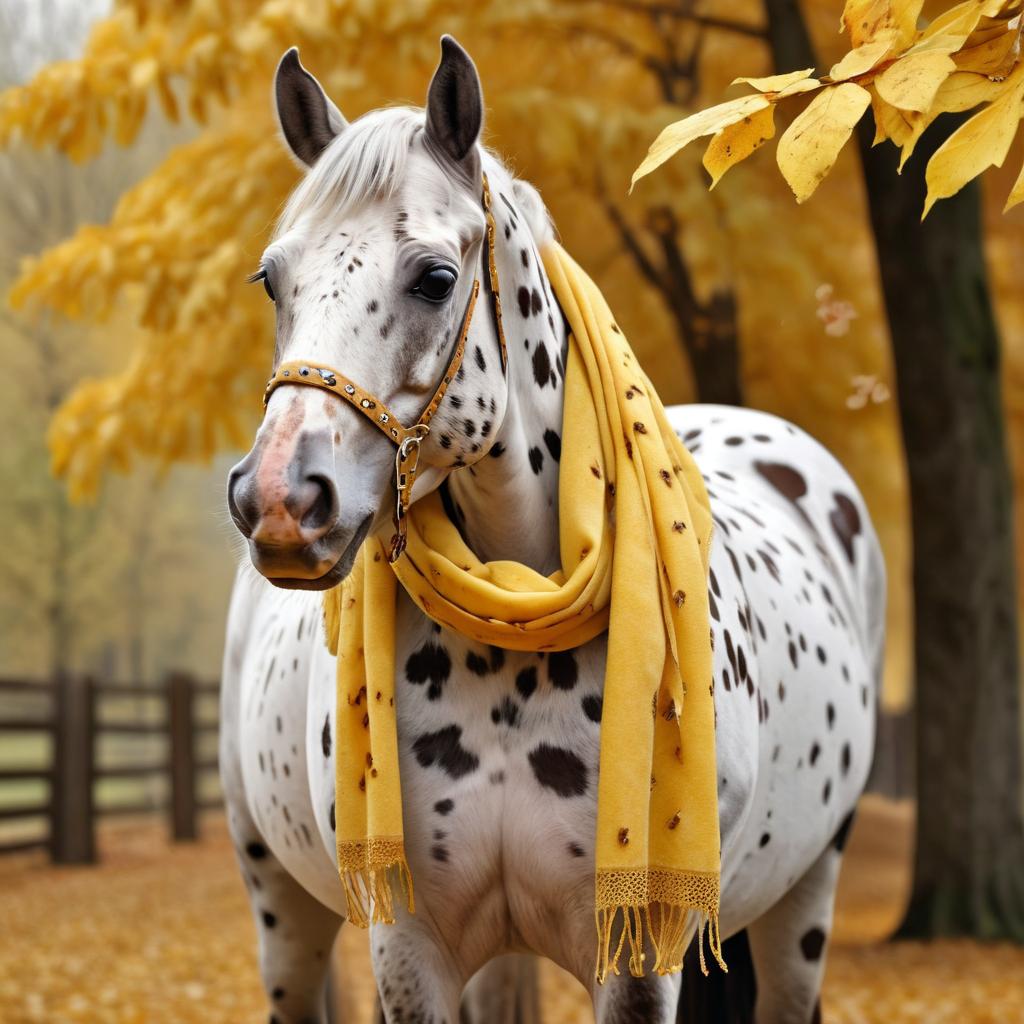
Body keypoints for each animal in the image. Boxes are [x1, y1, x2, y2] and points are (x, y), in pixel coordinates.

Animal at [224, 36, 888, 1019]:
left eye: (435, 278)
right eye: (273, 280)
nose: (277, 500)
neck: (513, 635)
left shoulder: (637, 950)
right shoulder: (408, 945)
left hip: (806, 897)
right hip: (281, 903)